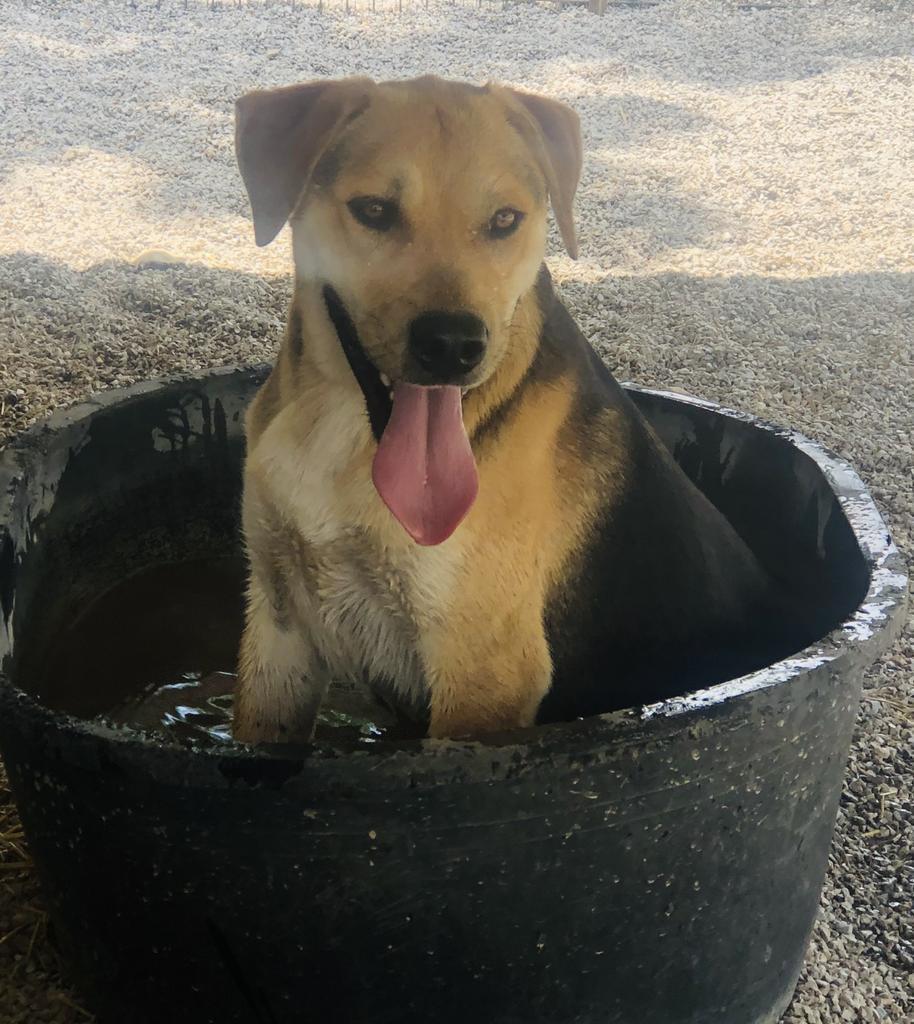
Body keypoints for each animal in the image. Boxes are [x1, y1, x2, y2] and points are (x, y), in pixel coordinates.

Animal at [230, 74, 790, 745]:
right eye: (374, 211)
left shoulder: (484, 672)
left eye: (504, 220)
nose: (453, 344)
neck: (339, 431)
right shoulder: (279, 626)